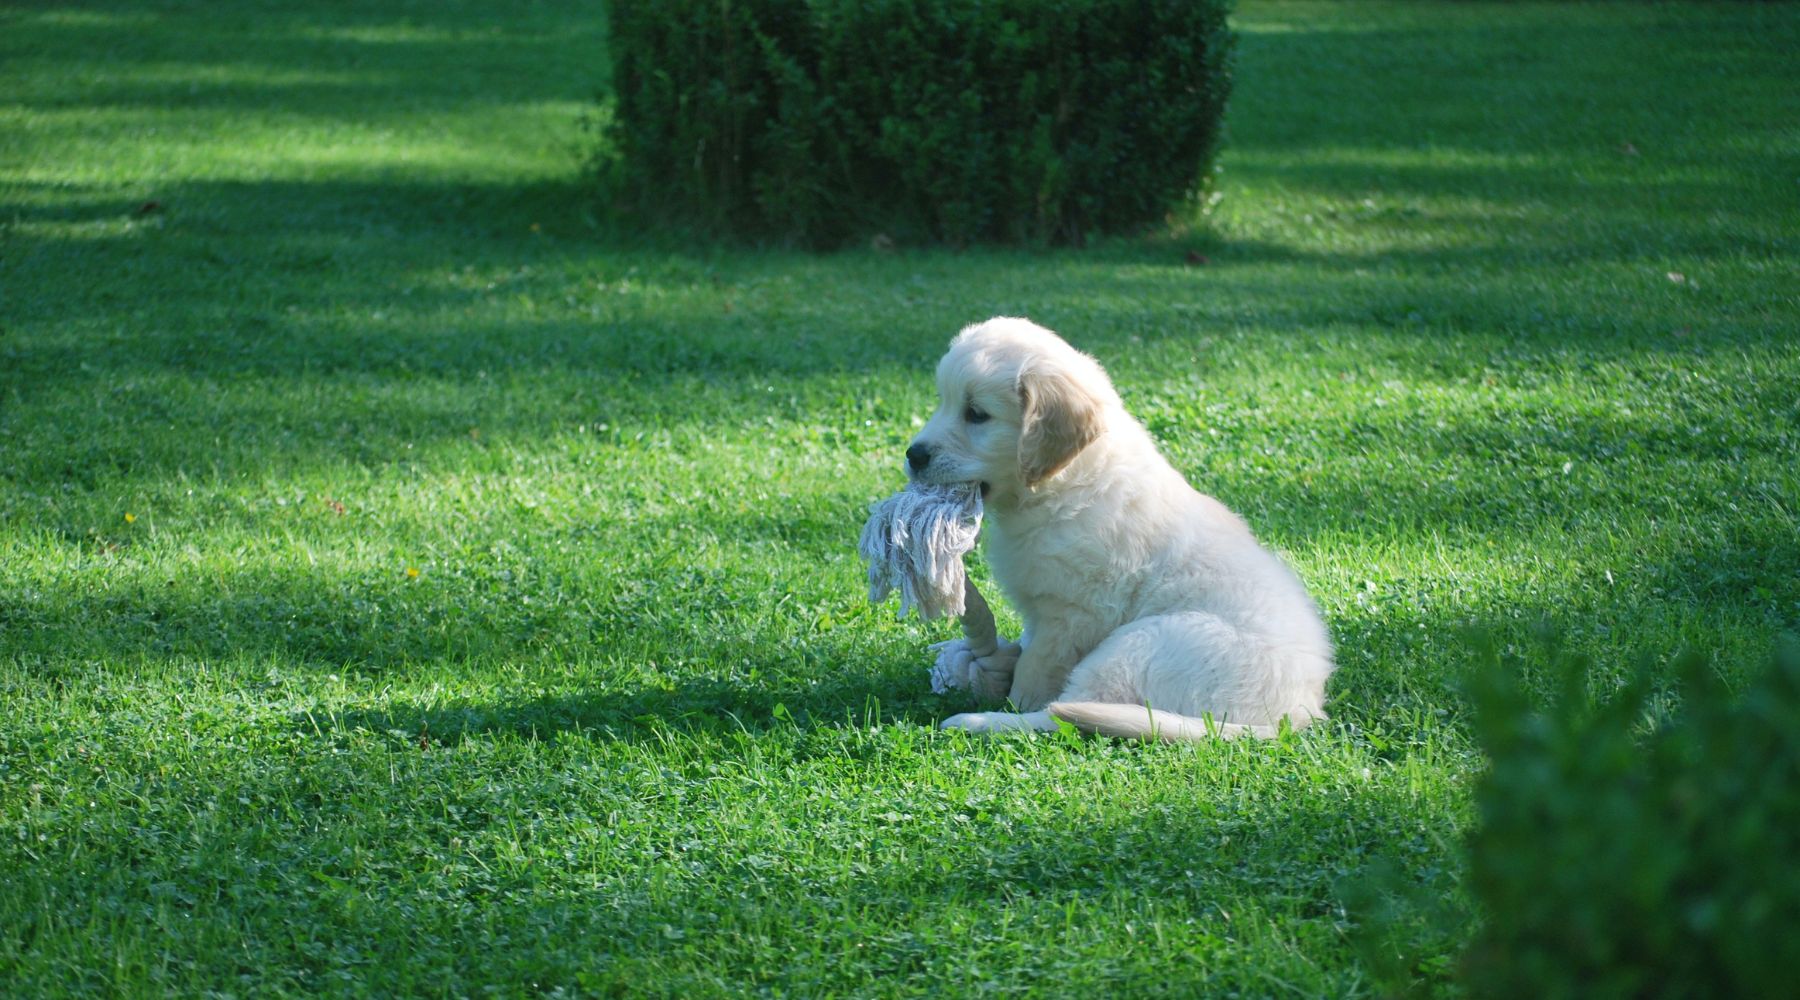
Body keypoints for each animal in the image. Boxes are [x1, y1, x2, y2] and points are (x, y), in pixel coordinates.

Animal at [907, 320, 1332, 741]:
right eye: (943, 401)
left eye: (976, 414)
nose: (913, 455)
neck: (1063, 484)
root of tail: (1295, 713)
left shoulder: (1071, 613)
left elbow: (1036, 671)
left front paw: (1013, 694)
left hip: (1138, 646)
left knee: (1062, 715)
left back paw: (977, 721)